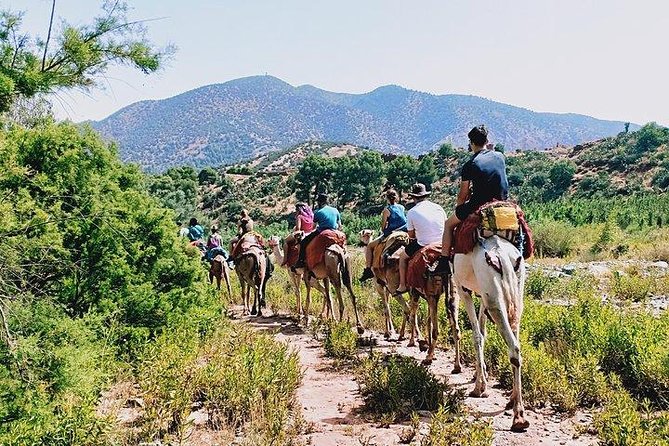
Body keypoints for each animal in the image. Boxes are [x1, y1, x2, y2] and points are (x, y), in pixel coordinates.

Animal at [451, 235, 529, 432]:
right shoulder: (481, 294)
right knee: (516, 337)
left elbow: (477, 335)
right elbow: (483, 331)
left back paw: (519, 417)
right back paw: (512, 401)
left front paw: (480, 386)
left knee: (513, 347)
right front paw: (479, 375)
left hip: (493, 296)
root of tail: (503, 256)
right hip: (516, 292)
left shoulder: (463, 288)